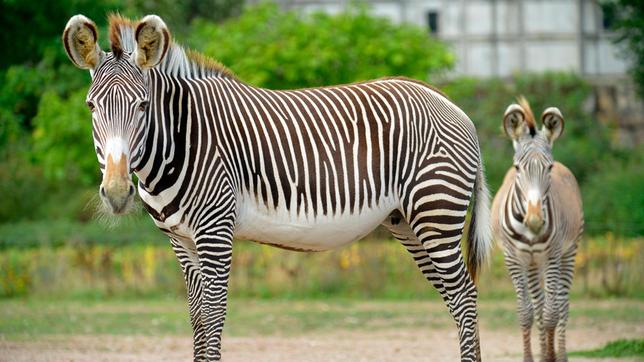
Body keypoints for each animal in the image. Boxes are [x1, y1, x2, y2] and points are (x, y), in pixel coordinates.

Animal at [61, 12, 494, 360]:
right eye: (91, 107)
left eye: (143, 106)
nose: (118, 193)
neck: (181, 140)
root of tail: (447, 101)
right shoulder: (180, 240)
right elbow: (198, 321)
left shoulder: (215, 231)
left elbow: (214, 320)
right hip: (408, 222)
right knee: (456, 297)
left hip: (436, 213)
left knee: (466, 296)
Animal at [490, 98, 588, 362]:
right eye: (517, 167)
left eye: (549, 167)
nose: (534, 221)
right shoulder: (513, 258)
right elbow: (526, 312)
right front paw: (531, 357)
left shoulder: (553, 256)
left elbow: (552, 312)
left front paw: (551, 356)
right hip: (533, 263)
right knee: (539, 305)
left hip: (569, 251)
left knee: (561, 305)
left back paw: (560, 354)